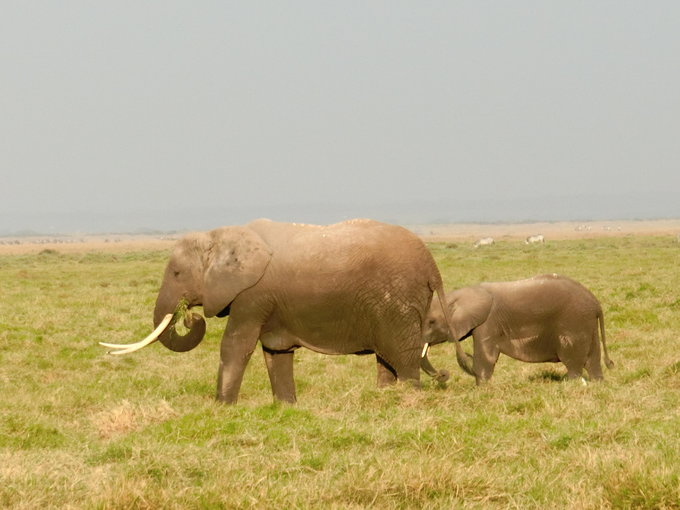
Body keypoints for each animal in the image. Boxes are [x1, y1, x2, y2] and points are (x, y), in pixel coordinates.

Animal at [103, 219, 470, 402]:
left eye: (177, 273)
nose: (188, 315)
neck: (220, 235)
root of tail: (432, 264)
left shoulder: (252, 295)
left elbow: (236, 346)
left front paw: (221, 407)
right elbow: (275, 353)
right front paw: (285, 407)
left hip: (396, 300)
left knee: (401, 357)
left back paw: (408, 402)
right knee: (387, 359)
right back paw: (382, 401)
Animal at [424, 272, 612, 384]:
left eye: (431, 322)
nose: (443, 374)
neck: (455, 295)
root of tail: (596, 303)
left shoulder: (488, 323)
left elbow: (486, 357)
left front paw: (481, 389)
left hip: (574, 322)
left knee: (572, 361)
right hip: (587, 324)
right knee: (593, 359)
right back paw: (597, 383)